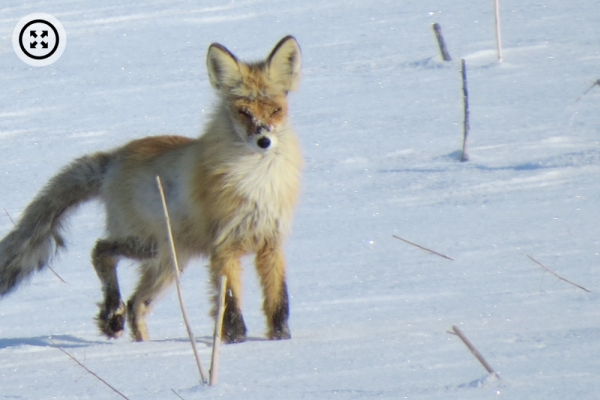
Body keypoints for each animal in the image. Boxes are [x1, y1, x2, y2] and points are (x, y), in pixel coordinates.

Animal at [0, 35, 302, 344]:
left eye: (276, 110)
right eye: (244, 112)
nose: (264, 141)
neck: (256, 181)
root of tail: (114, 157)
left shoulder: (271, 243)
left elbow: (279, 302)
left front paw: (281, 340)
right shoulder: (224, 246)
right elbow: (229, 304)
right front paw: (235, 342)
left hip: (169, 261)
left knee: (136, 304)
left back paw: (140, 344)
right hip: (149, 246)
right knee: (100, 251)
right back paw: (112, 313)